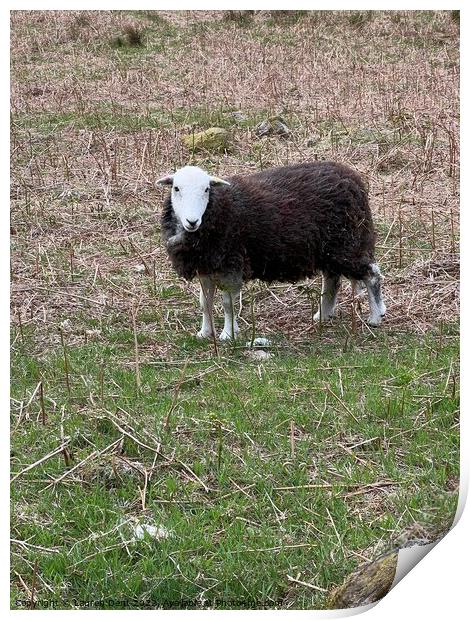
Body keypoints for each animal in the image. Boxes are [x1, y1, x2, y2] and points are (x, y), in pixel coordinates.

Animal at [158, 161, 386, 340]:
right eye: (176, 188)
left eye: (206, 189)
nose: (192, 221)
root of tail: (352, 178)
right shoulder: (205, 267)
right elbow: (205, 302)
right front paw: (205, 333)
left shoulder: (231, 265)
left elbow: (227, 304)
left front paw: (228, 335)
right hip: (331, 249)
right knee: (332, 280)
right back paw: (323, 315)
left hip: (348, 244)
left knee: (372, 274)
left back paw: (375, 317)